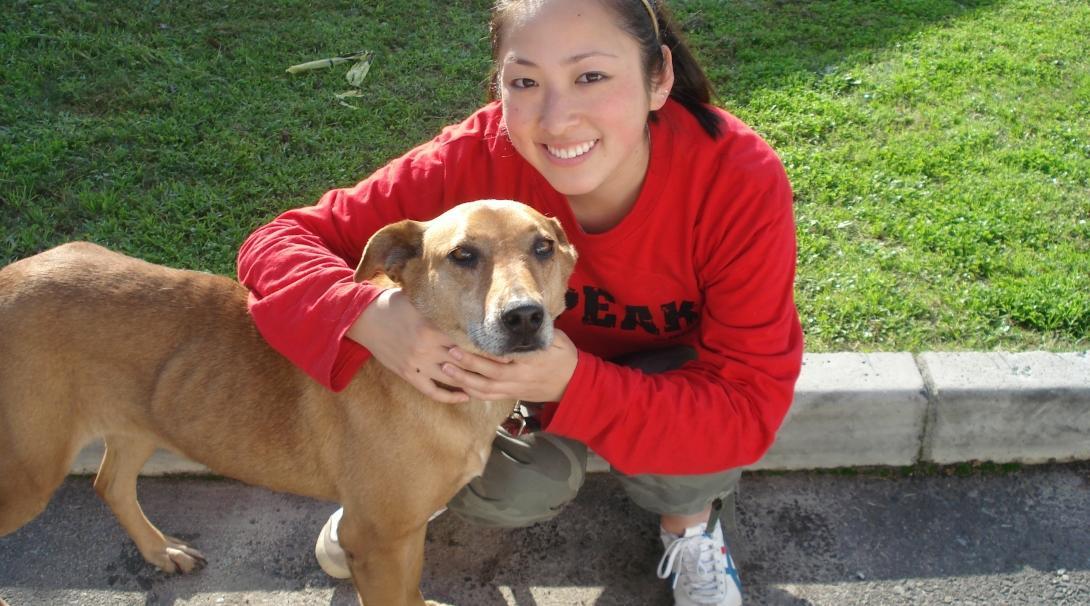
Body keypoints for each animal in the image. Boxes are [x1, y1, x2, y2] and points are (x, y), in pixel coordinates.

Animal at [0, 200, 579, 606]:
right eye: (462, 255)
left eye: (543, 247)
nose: (524, 317)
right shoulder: (377, 540)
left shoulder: (403, 536)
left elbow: (413, 589)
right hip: (27, 474)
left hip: (139, 420)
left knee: (110, 484)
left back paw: (160, 550)